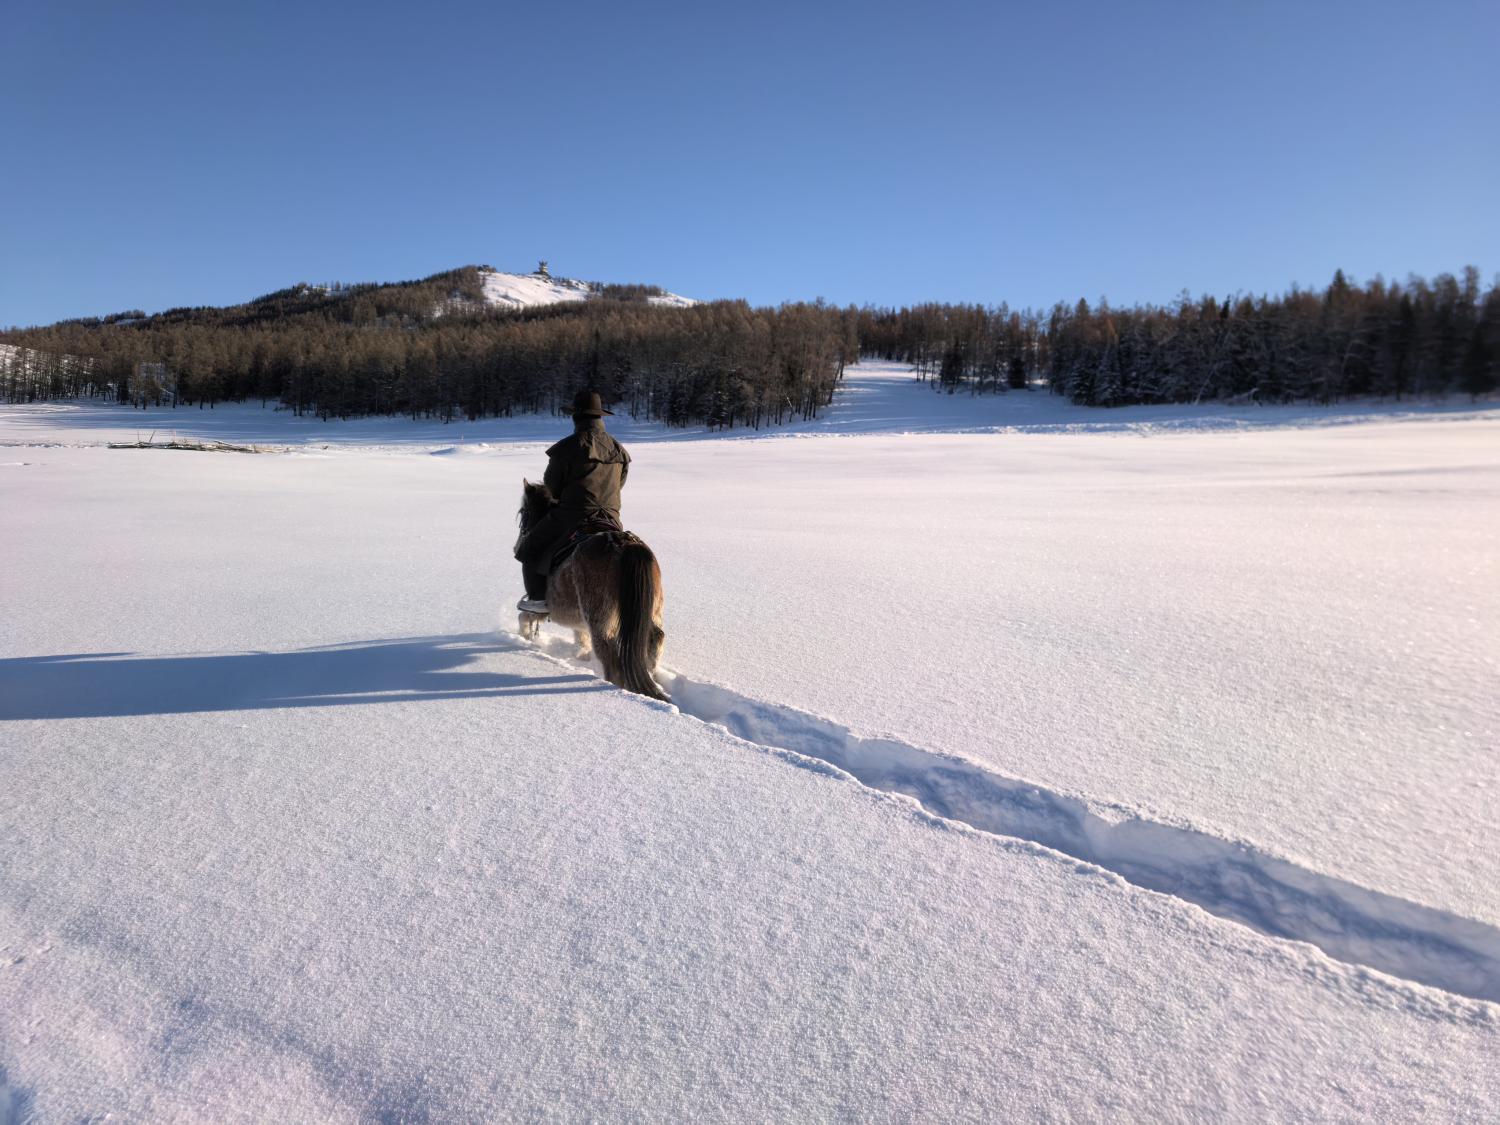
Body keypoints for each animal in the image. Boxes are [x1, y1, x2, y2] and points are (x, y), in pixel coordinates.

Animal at [514, 480, 669, 701]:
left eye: (523, 512)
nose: (517, 546)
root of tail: (623, 545)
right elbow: (580, 638)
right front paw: (581, 655)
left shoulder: (543, 607)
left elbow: (524, 617)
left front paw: (524, 637)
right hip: (652, 612)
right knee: (655, 640)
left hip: (601, 622)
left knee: (611, 659)